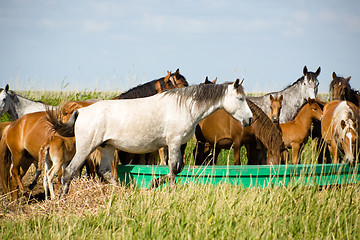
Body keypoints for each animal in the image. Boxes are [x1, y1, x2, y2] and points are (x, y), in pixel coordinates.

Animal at [46, 79, 255, 195]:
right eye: (240, 98)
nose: (250, 119)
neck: (184, 106)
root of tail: (81, 111)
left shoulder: (176, 145)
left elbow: (177, 169)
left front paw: (155, 184)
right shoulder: (173, 143)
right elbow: (173, 169)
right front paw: (168, 190)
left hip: (107, 148)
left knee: (104, 171)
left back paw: (122, 192)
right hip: (86, 148)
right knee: (68, 172)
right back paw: (63, 199)